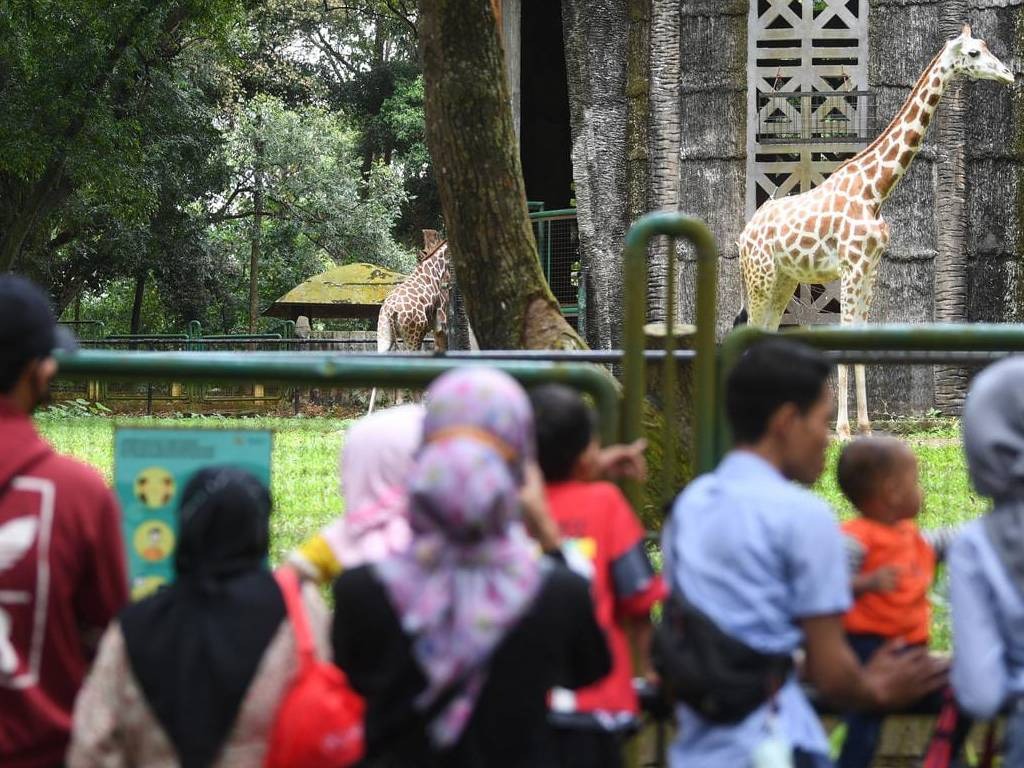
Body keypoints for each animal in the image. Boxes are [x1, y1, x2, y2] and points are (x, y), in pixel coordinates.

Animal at [737, 25, 1015, 438]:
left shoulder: (870, 268)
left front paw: (865, 427)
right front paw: (842, 429)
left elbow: (863, 337)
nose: (1009, 75)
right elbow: (845, 337)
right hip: (760, 278)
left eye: (985, 46)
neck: (875, 191)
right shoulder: (850, 267)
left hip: (783, 281)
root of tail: (743, 236)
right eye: (973, 53)